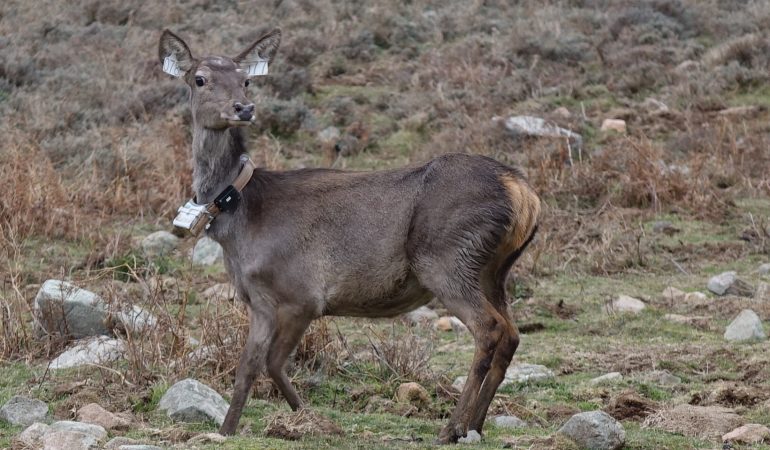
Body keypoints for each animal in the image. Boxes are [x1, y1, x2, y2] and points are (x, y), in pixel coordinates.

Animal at [158, 29, 540, 446]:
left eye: (246, 80)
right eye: (200, 79)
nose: (244, 108)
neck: (241, 222)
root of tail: (523, 192)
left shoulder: (301, 294)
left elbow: (272, 362)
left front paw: (311, 419)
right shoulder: (258, 301)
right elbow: (248, 366)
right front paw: (229, 429)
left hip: (446, 259)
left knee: (489, 329)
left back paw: (452, 427)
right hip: (493, 270)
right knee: (512, 334)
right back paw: (475, 425)